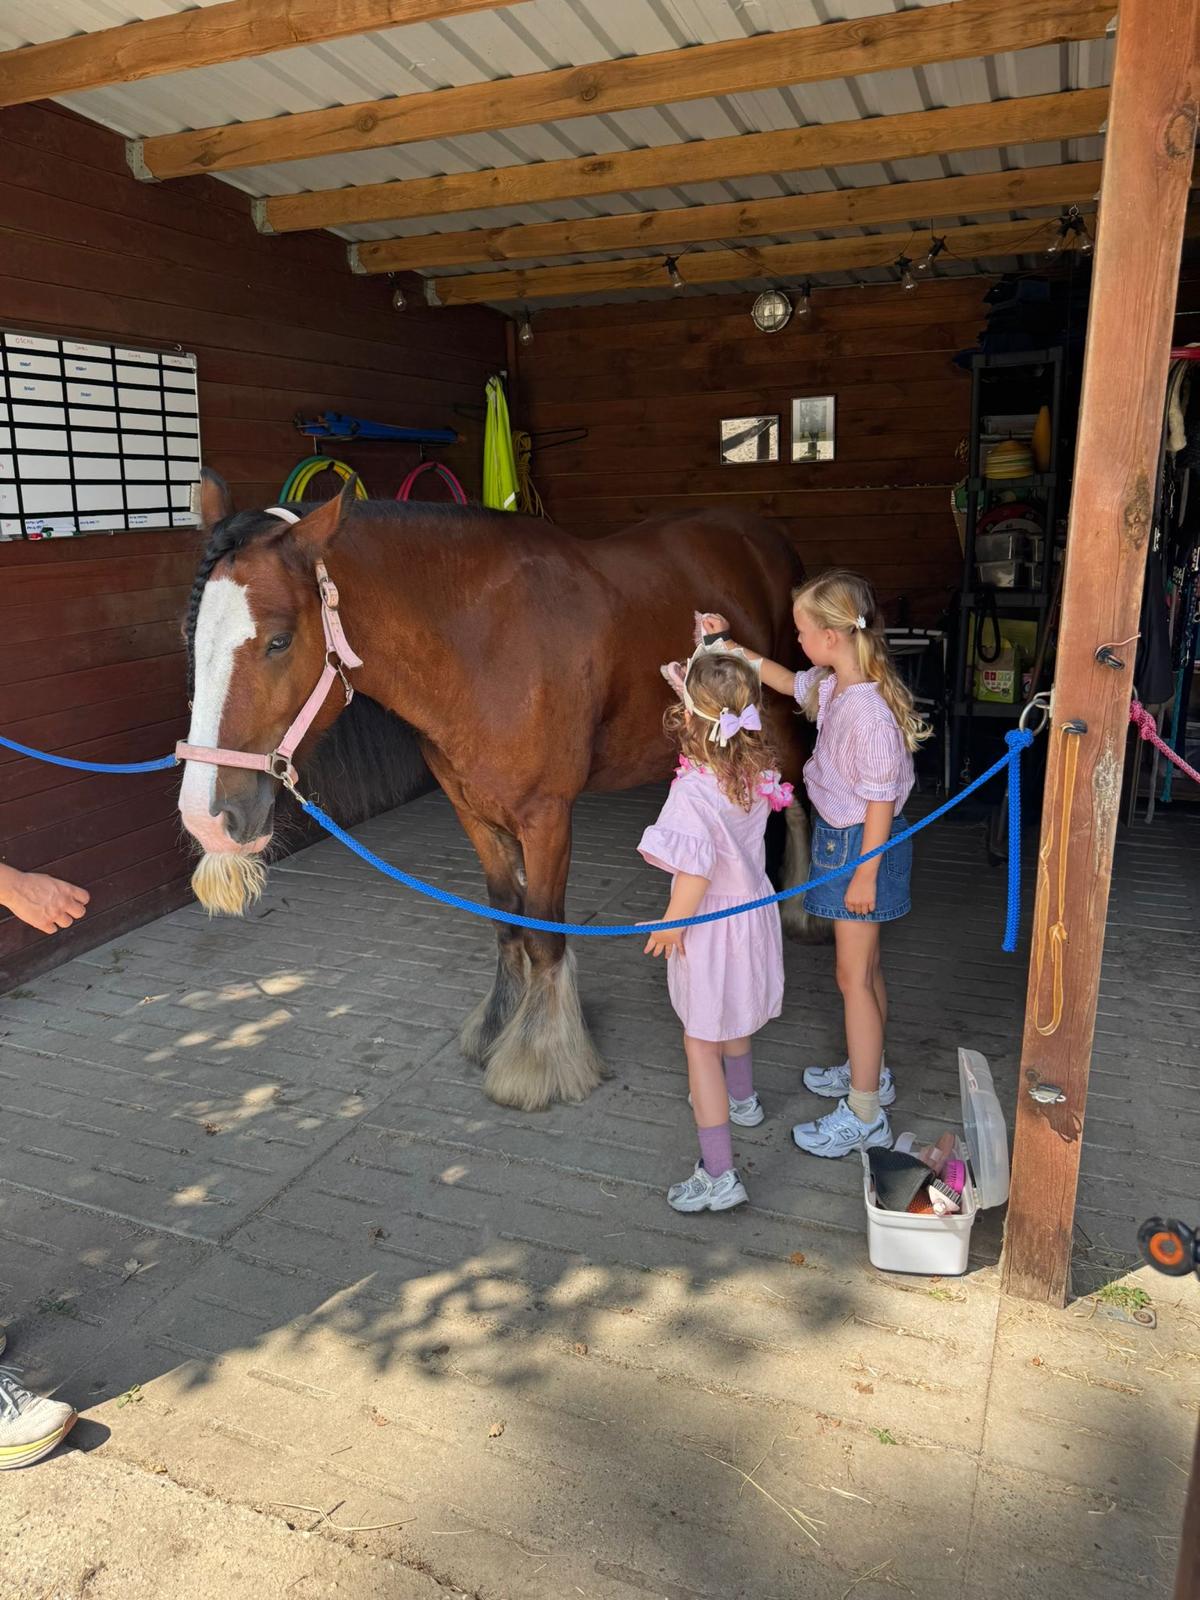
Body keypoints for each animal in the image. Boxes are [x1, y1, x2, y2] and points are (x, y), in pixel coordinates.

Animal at [177, 470, 817, 1113]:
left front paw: (541, 1060)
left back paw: (799, 907)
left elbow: (544, 933)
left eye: (279, 641)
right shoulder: (472, 810)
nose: (207, 819)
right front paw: (497, 1026)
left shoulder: (546, 818)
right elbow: (506, 917)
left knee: (798, 801)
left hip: (780, 724)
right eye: (190, 636)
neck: (481, 642)